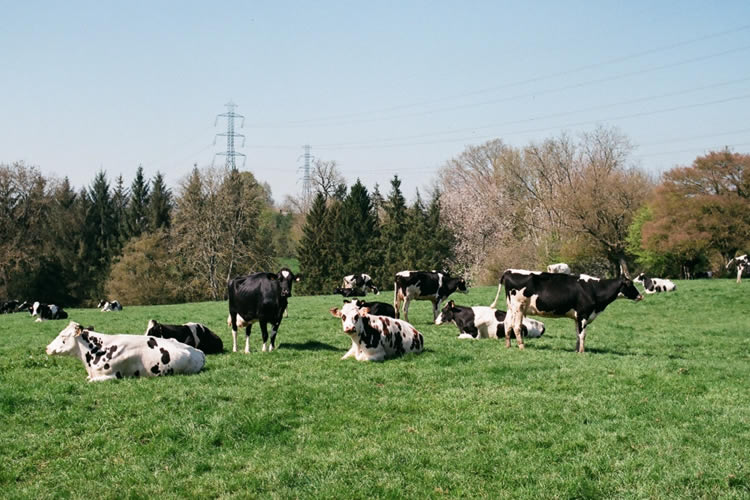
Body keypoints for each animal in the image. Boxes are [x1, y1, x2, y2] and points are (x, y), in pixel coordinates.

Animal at [490, 270, 644, 352]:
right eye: (630, 284)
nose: (640, 296)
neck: (594, 289)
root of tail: (509, 271)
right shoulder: (583, 314)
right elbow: (583, 334)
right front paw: (582, 352)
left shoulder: (577, 317)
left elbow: (577, 334)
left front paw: (576, 350)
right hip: (518, 308)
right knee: (516, 326)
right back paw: (522, 346)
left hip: (511, 308)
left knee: (507, 325)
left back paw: (508, 345)